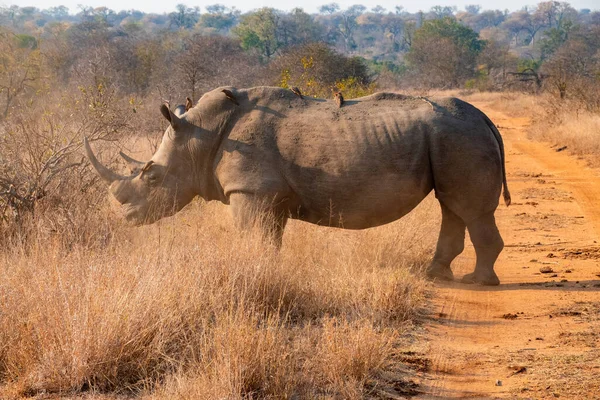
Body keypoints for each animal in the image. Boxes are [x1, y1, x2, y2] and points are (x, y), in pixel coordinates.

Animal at [84, 87, 510, 286]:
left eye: (152, 176)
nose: (126, 216)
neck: (198, 137)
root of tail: (485, 118)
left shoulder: (250, 191)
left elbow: (252, 236)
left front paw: (251, 270)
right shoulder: (266, 196)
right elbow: (269, 239)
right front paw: (265, 270)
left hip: (460, 136)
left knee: (470, 209)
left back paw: (478, 282)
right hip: (453, 137)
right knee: (451, 205)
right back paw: (436, 275)